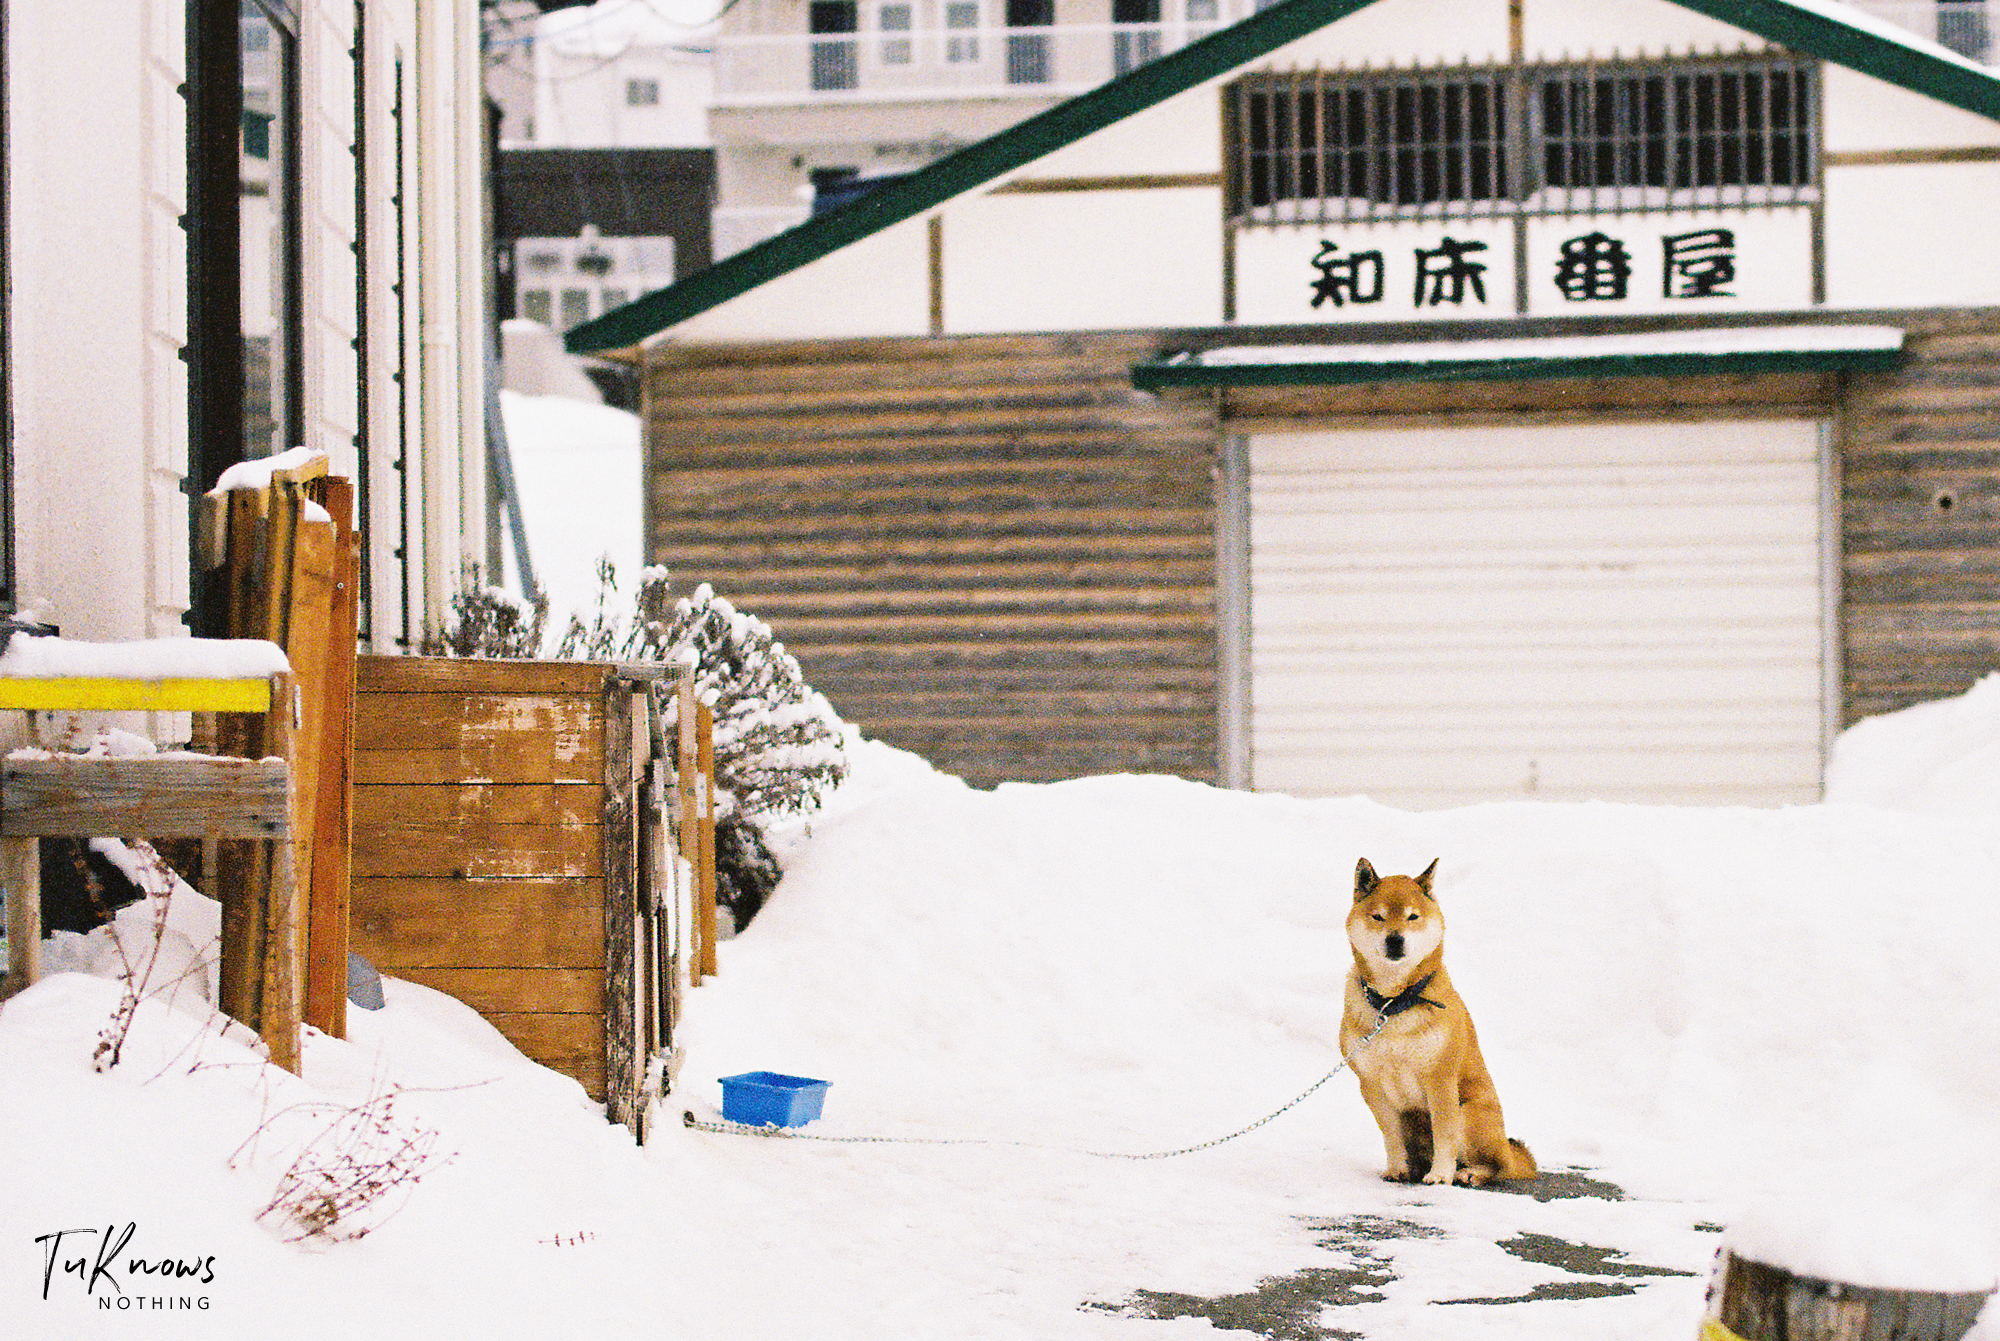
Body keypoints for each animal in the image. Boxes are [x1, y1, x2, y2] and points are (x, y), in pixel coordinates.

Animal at [1336, 860, 1536, 1184]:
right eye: (1378, 916)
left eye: (1412, 916)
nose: (1395, 939)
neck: (1394, 1004)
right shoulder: (1372, 1085)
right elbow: (1390, 1136)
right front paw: (1397, 1169)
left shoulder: (1440, 1077)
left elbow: (1445, 1134)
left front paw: (1441, 1175)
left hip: (1470, 1115)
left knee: (1499, 1167)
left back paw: (1469, 1173)